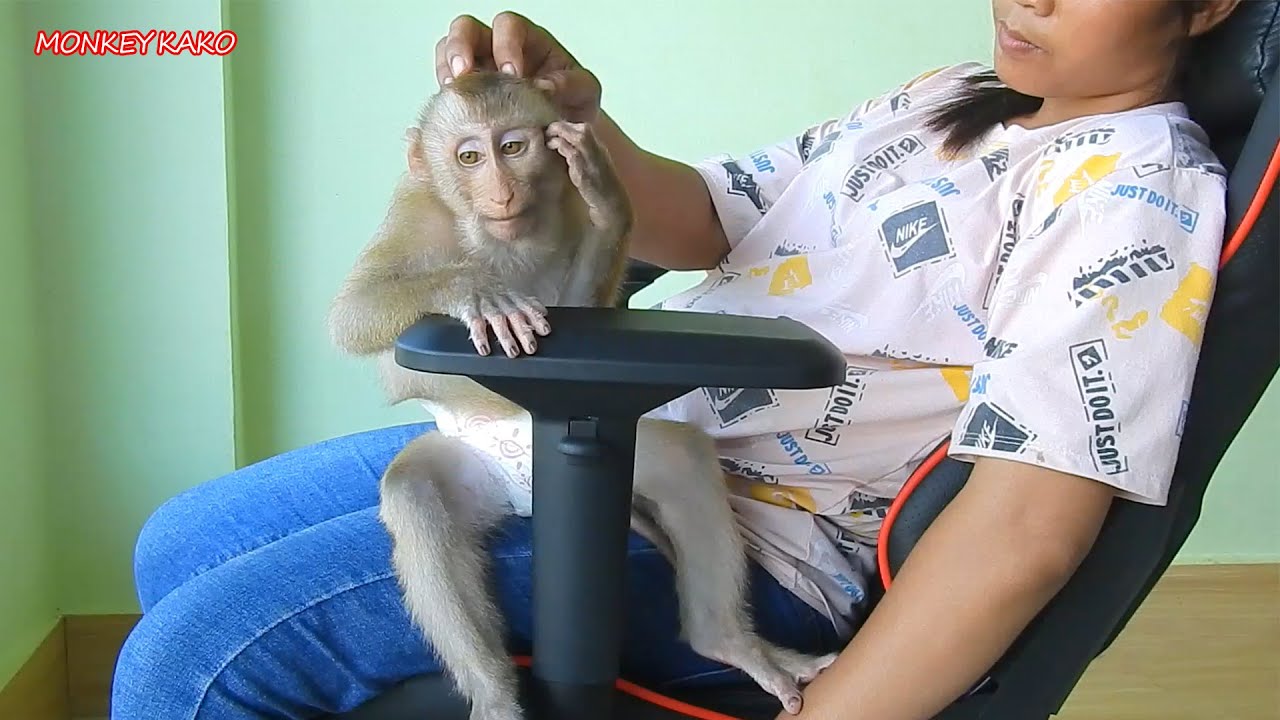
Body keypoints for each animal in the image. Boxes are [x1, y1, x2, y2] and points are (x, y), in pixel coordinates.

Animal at [327, 71, 837, 720]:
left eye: (512, 147)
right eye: (469, 157)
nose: (500, 191)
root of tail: (531, 496)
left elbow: (582, 303)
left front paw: (611, 204)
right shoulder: (416, 213)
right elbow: (352, 314)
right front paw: (475, 290)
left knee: (683, 461)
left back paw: (727, 641)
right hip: (479, 473)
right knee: (414, 494)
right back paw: (495, 698)